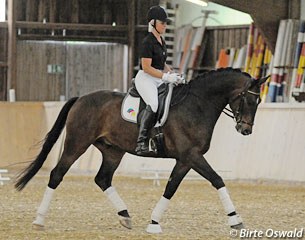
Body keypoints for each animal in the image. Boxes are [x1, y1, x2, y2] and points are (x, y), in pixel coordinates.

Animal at [14, 68, 266, 233]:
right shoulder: (192, 155)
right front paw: (235, 220)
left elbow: (171, 187)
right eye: (248, 100)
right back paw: (39, 220)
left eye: (259, 102)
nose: (245, 130)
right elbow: (217, 180)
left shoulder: (185, 159)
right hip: (77, 144)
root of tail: (80, 98)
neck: (197, 104)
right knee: (57, 174)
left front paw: (154, 222)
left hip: (113, 151)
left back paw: (125, 216)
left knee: (102, 179)